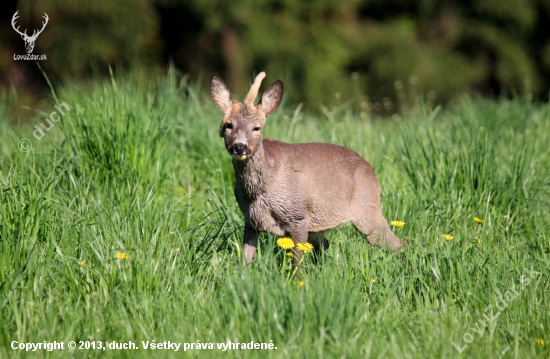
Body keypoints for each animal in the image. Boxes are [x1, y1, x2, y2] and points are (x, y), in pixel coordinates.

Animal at [210, 71, 406, 266]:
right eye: (229, 125)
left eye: (256, 128)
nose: (240, 146)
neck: (262, 189)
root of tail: (371, 170)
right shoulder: (251, 220)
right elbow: (245, 260)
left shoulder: (299, 216)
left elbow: (297, 263)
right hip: (320, 224)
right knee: (325, 245)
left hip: (367, 208)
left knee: (398, 244)